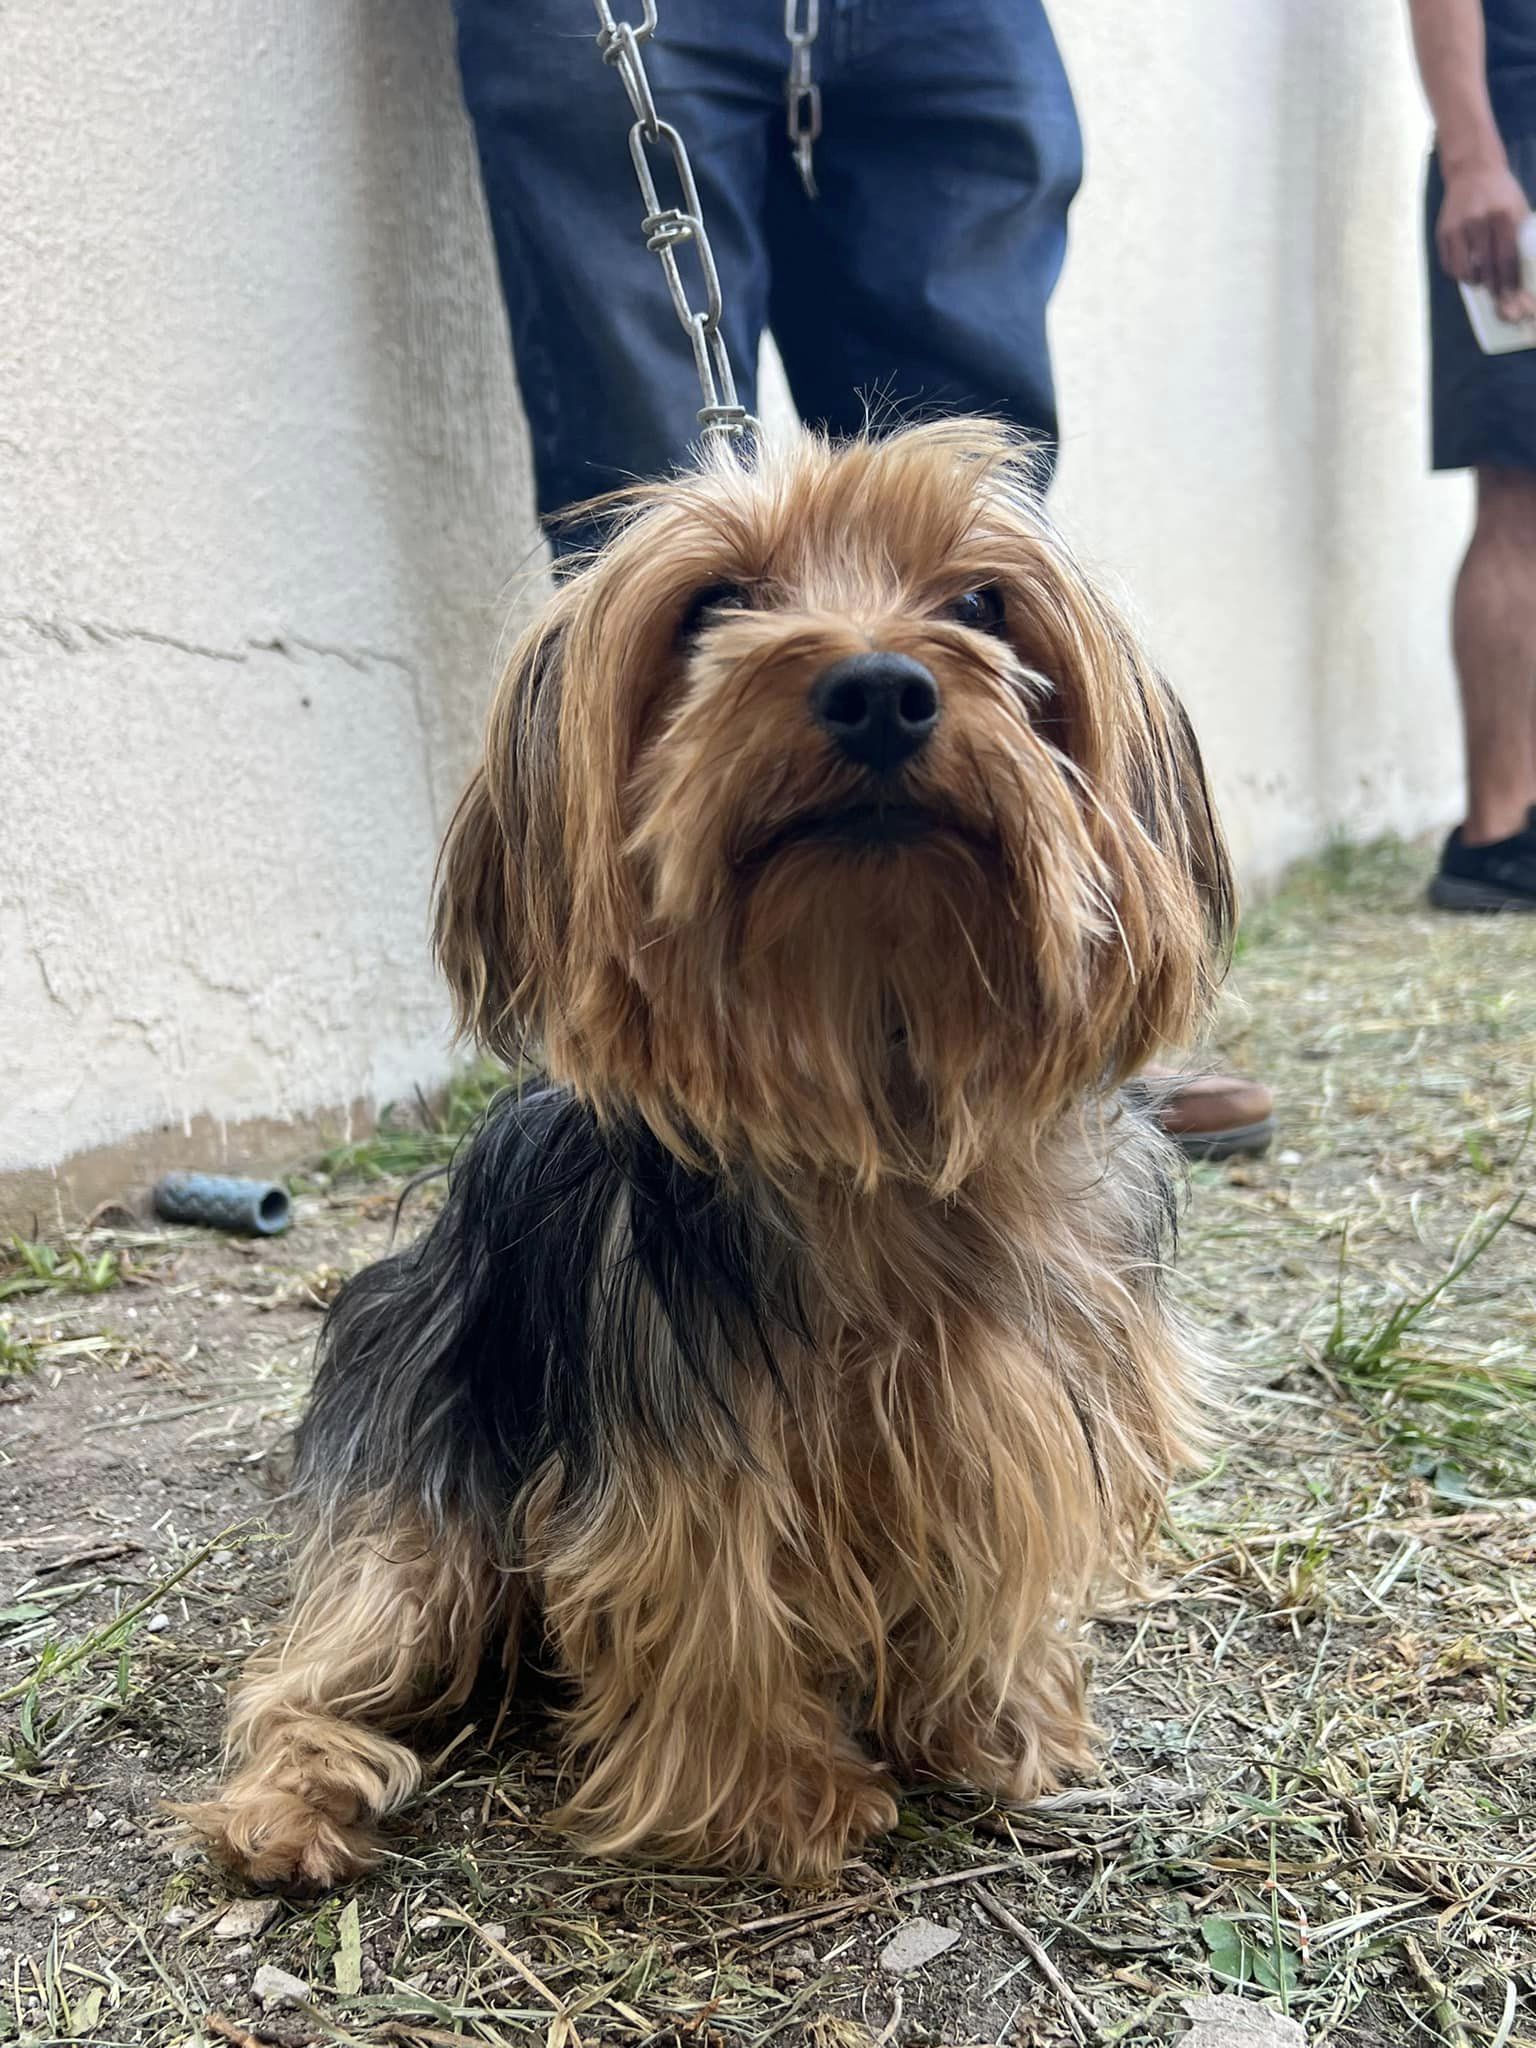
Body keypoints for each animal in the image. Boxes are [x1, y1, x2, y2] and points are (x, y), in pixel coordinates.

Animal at [183, 415, 1236, 1884]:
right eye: (714, 607)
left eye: (984, 604)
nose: (879, 689)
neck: (874, 1094)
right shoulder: (685, 1460)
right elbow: (710, 1602)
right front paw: (780, 1802)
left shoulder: (1016, 1408)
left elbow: (992, 1565)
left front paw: (996, 1729)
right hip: (421, 1485)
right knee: (333, 1649)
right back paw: (290, 1801)